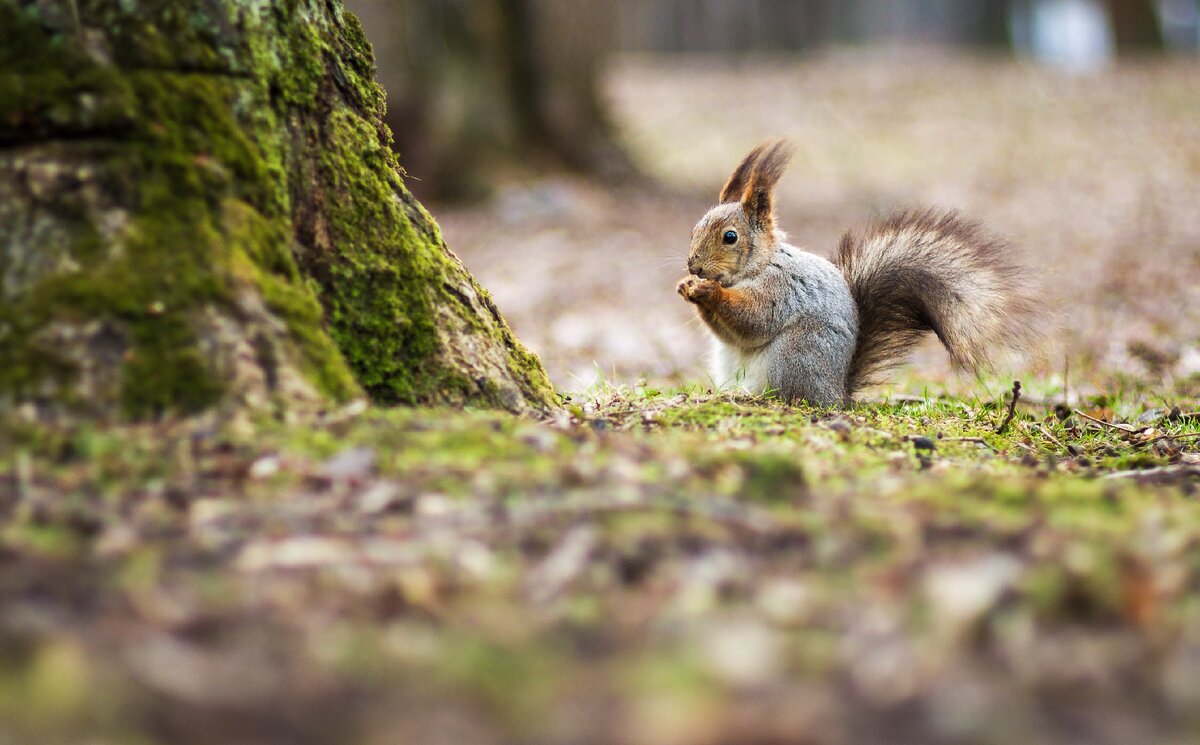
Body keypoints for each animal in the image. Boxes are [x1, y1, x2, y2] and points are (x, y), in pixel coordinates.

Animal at [677, 140, 1043, 406]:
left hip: (795, 355)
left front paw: (708, 290)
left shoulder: (783, 289)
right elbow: (729, 333)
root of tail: (837, 395)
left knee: (789, 395)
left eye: (730, 237)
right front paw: (687, 287)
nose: (694, 266)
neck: (760, 265)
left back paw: (755, 397)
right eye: (694, 228)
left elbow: (754, 319)